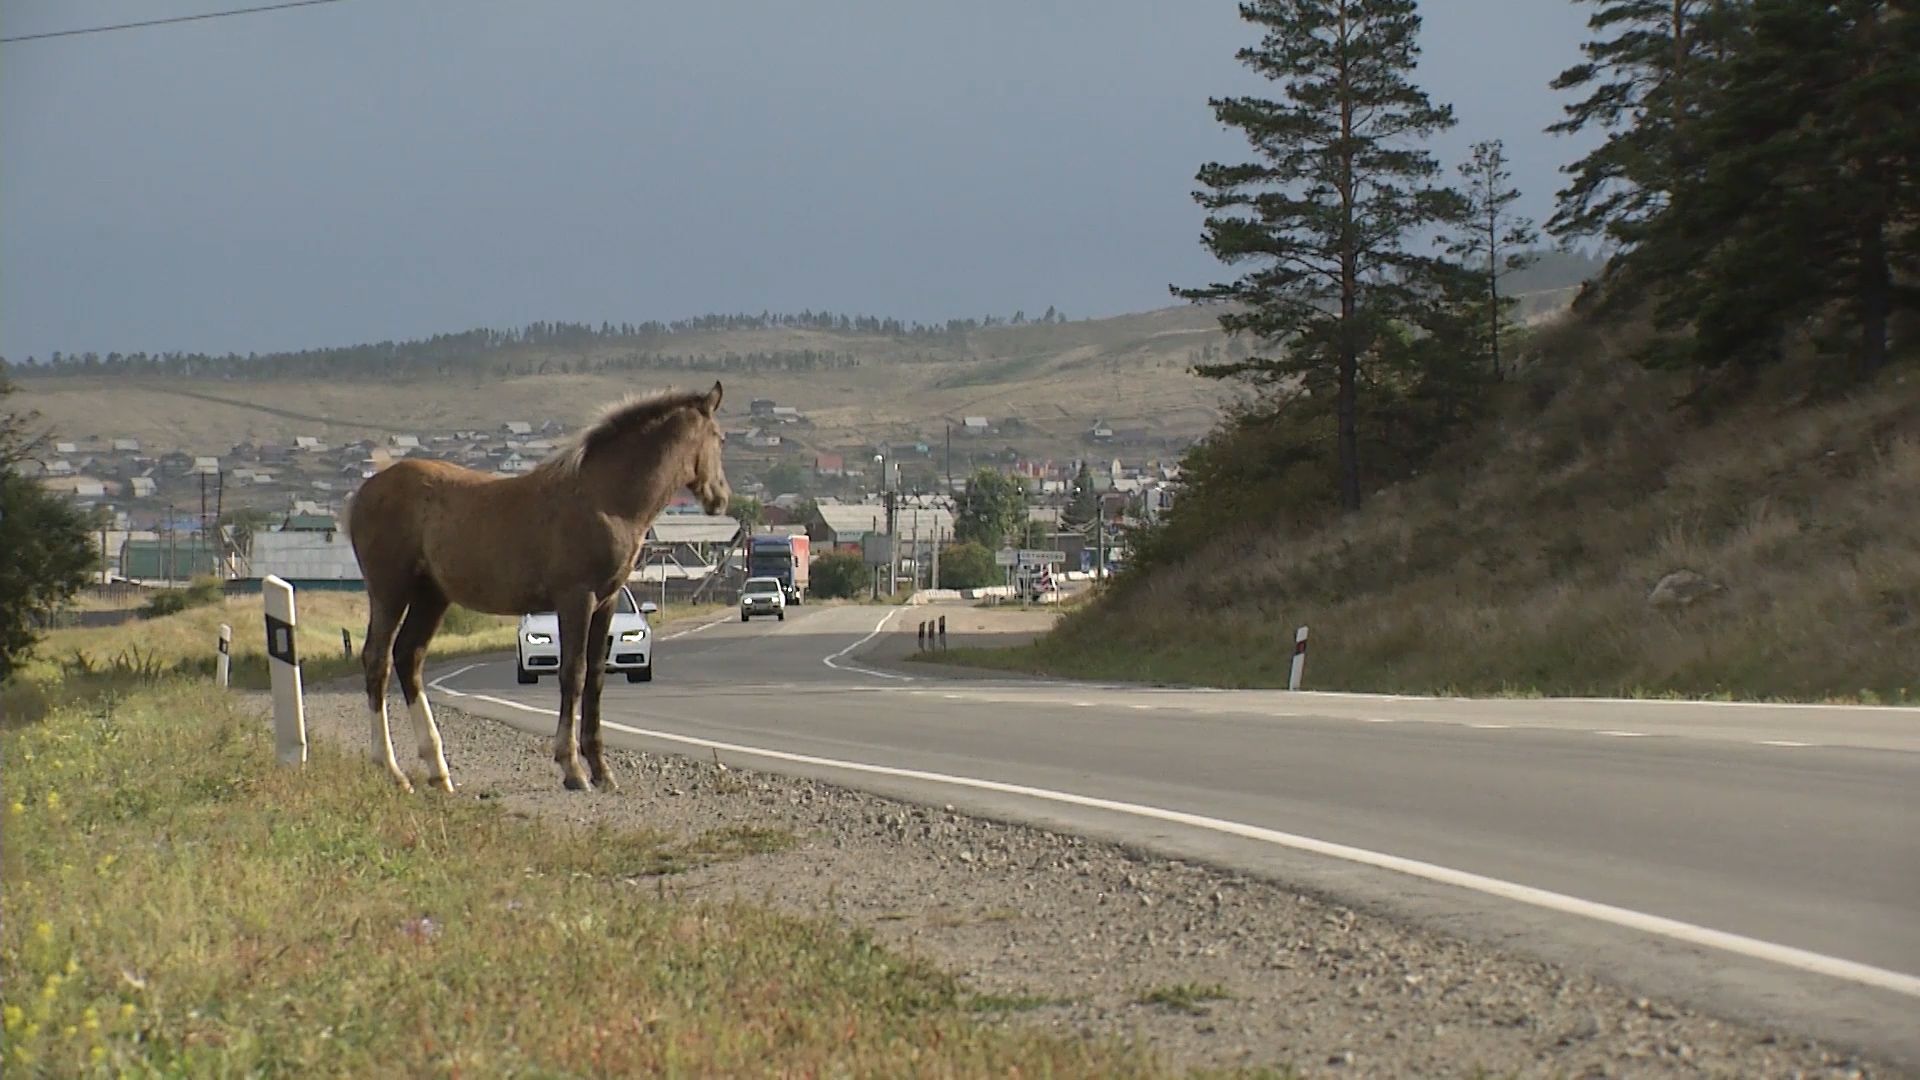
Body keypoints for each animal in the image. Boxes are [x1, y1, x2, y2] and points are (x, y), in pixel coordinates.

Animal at [341, 378, 729, 791]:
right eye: (719, 438)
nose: (720, 497)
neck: (605, 499)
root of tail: (360, 496)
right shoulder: (576, 598)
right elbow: (572, 673)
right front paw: (572, 768)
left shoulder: (606, 601)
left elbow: (596, 677)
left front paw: (602, 771)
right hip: (389, 591)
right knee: (377, 660)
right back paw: (392, 769)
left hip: (431, 596)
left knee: (408, 657)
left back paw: (438, 770)